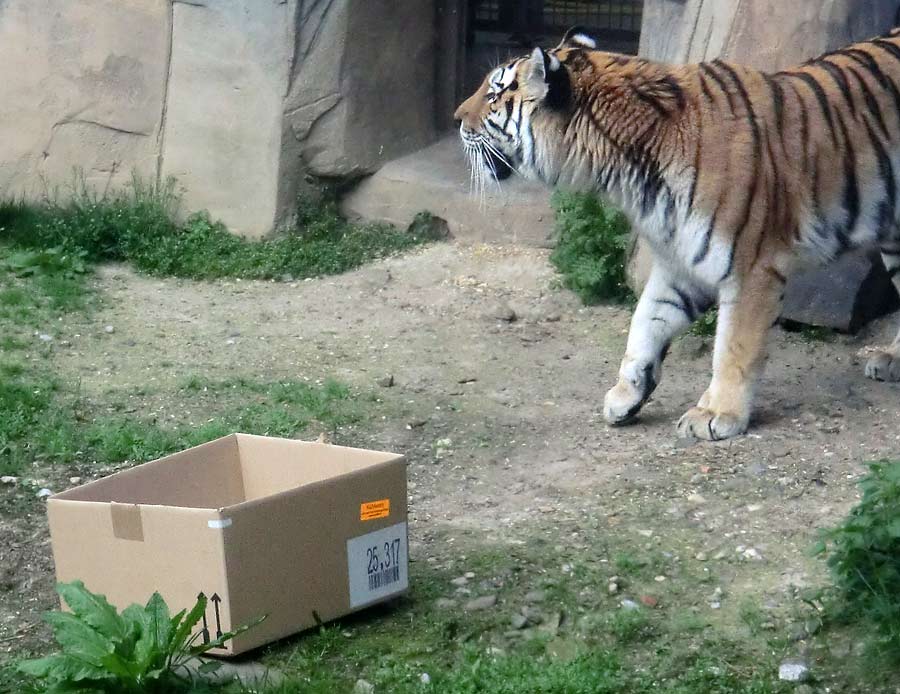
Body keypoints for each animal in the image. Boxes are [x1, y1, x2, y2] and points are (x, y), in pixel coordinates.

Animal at [454, 27, 900, 444]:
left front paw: (717, 415)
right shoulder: (679, 262)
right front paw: (626, 396)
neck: (624, 168)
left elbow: (733, 348)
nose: (457, 118)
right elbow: (645, 323)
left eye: (493, 95)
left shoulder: (752, 268)